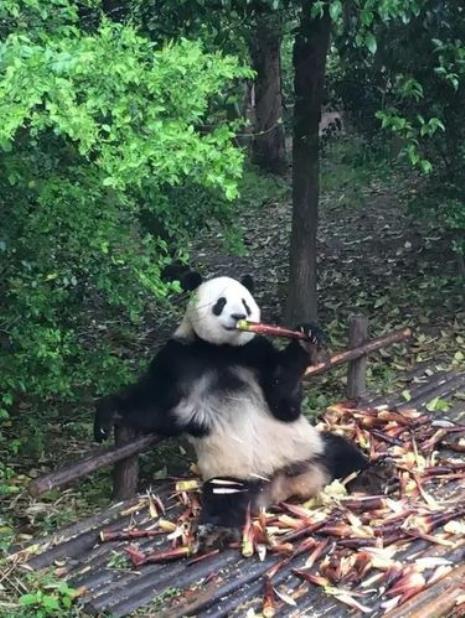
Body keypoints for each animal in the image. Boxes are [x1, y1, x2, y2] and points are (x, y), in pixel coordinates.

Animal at [94, 272, 368, 532]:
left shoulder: (256, 351)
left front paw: (307, 339)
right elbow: (154, 404)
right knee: (224, 503)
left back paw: (369, 477)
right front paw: (105, 417)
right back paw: (216, 530)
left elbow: (283, 401)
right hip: (232, 477)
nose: (239, 316)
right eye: (221, 303)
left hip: (310, 447)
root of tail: (285, 483)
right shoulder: (177, 359)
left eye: (245, 303)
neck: (220, 349)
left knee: (344, 454)